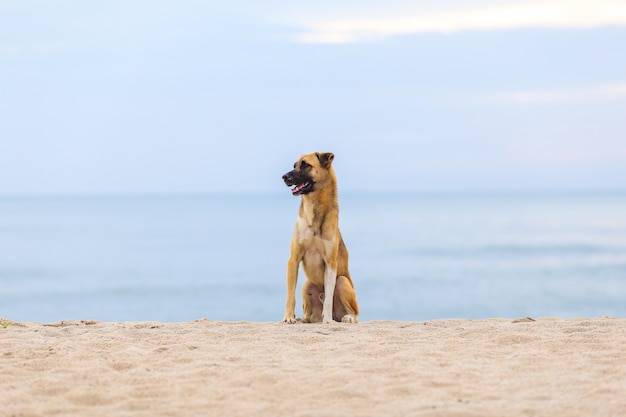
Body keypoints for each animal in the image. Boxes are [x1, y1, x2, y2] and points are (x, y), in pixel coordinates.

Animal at [280, 151, 358, 324]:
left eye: (305, 165)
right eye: (294, 165)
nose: (284, 177)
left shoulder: (330, 263)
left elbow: (328, 298)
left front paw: (327, 320)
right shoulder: (293, 259)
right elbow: (290, 295)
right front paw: (289, 317)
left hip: (342, 281)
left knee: (354, 314)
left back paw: (345, 317)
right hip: (307, 284)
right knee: (309, 316)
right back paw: (303, 319)